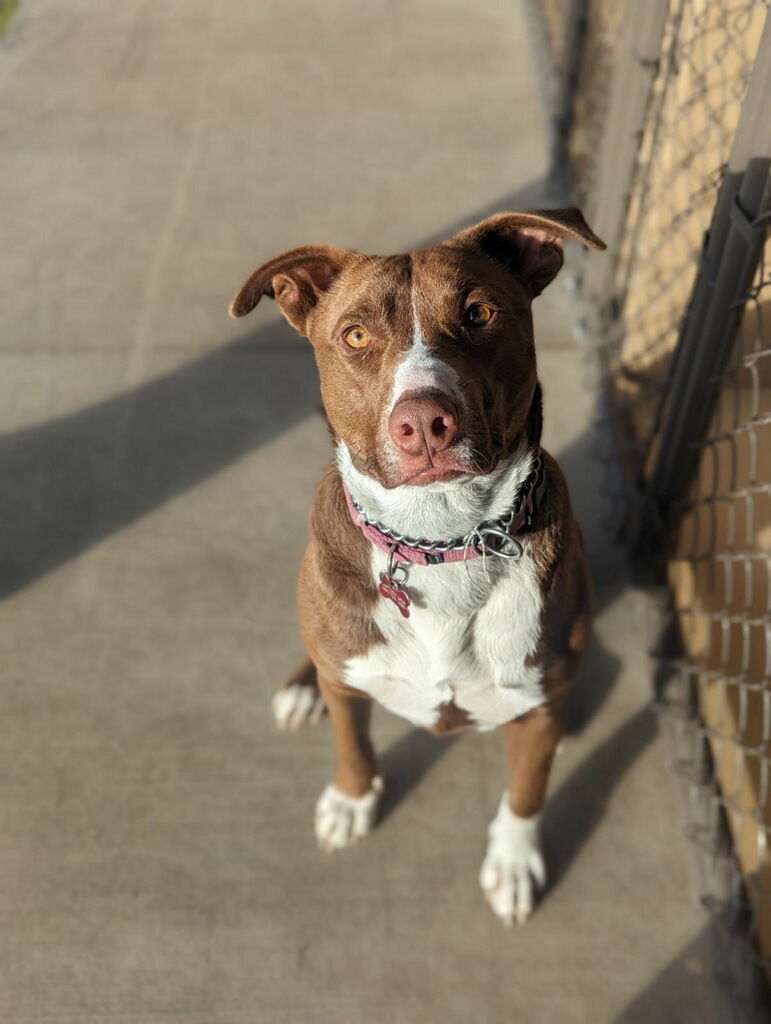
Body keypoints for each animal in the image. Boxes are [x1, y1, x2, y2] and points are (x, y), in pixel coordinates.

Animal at [231, 209, 606, 929]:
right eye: (355, 335)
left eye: (479, 313)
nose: (425, 422)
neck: (441, 538)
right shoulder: (349, 678)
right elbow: (353, 745)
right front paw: (351, 801)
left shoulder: (535, 702)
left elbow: (526, 789)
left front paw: (513, 862)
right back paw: (301, 689)